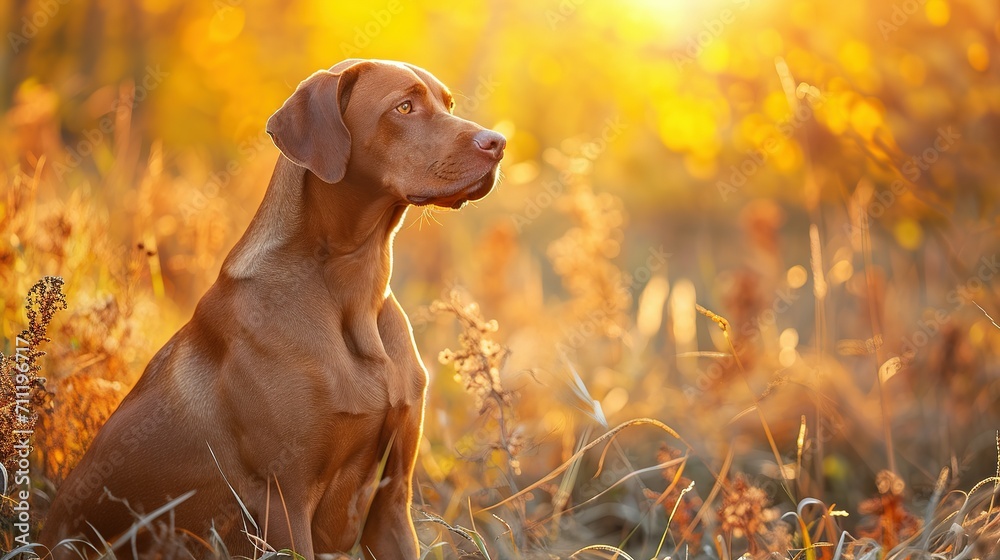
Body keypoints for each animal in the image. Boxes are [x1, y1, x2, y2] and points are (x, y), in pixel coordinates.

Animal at [40, 59, 508, 556]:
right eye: (404, 106)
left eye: (448, 104)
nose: (498, 143)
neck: (355, 292)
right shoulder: (284, 503)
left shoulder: (392, 502)